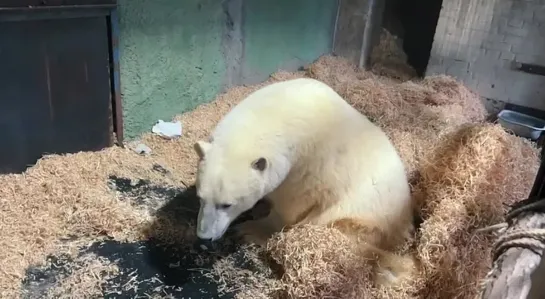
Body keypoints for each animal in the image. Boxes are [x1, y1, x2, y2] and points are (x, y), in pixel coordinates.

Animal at [191, 78, 412, 253]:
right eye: (200, 198)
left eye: (227, 204)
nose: (204, 236)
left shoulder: (307, 166)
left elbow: (292, 203)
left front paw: (250, 230)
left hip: (365, 214)